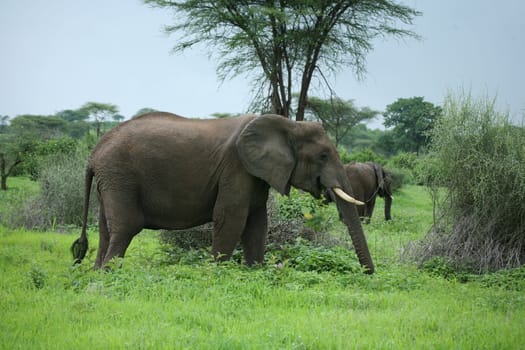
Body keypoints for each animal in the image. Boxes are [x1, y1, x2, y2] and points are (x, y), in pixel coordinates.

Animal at [71, 112, 374, 274]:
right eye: (323, 156)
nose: (368, 274)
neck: (287, 124)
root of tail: (93, 154)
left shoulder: (255, 174)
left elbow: (257, 224)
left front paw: (254, 271)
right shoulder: (236, 168)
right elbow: (231, 218)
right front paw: (218, 274)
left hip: (110, 182)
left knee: (106, 229)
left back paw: (96, 275)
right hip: (121, 177)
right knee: (126, 227)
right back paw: (109, 275)